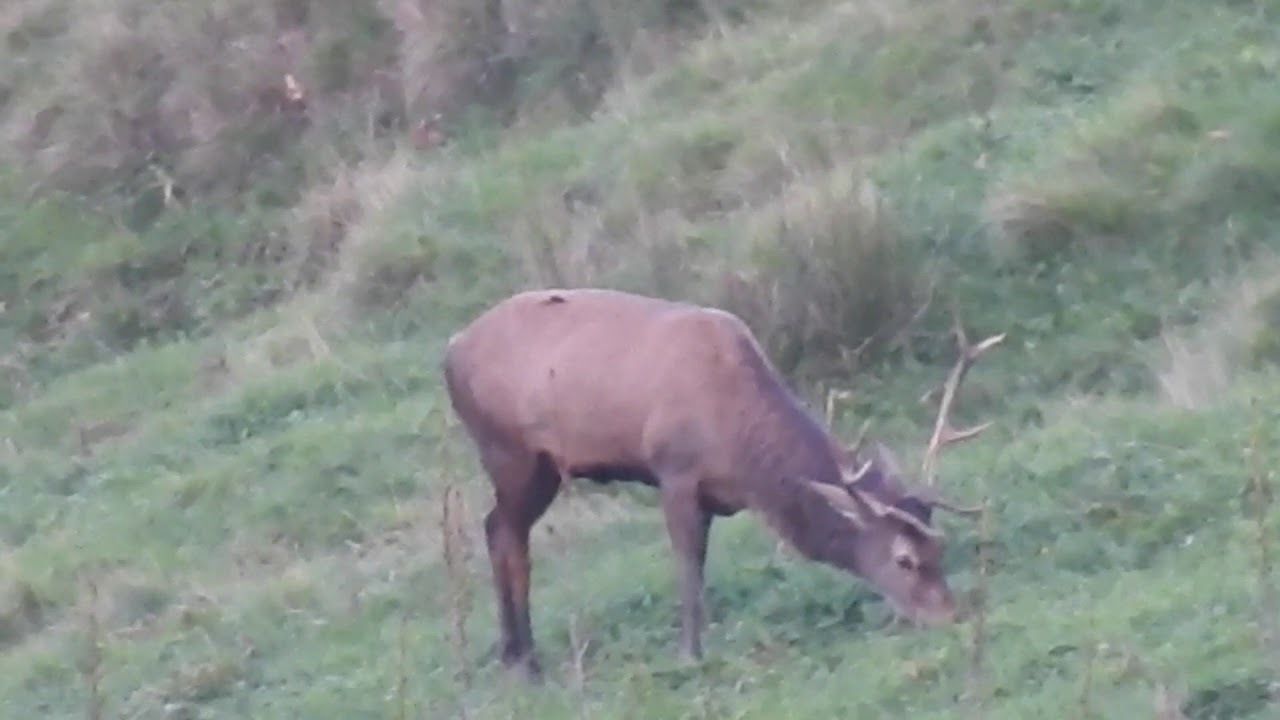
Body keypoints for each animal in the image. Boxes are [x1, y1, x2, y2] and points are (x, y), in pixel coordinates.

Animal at [441, 287, 1004, 682]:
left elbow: (702, 565)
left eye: (940, 548)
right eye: (904, 559)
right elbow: (688, 568)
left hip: (534, 467)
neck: (741, 454)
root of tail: (449, 350)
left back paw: (513, 654)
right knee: (507, 536)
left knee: (495, 529)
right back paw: (526, 661)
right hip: (509, 451)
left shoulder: (712, 496)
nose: (949, 615)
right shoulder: (674, 469)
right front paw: (690, 654)